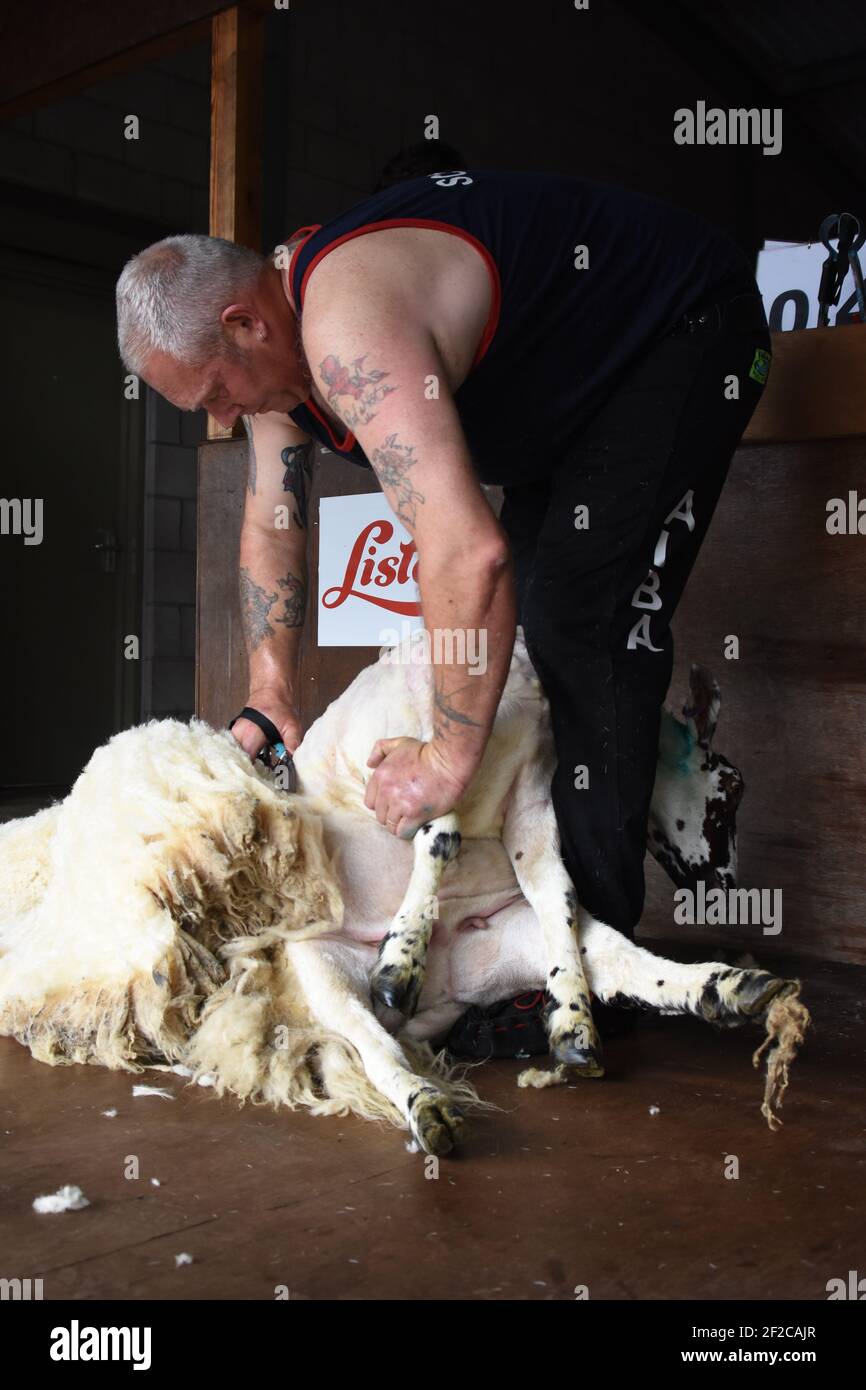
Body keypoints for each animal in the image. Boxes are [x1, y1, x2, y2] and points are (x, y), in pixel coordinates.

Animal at [0, 628, 806, 1150]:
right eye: (731, 788)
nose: (730, 890)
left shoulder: (532, 797)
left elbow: (554, 891)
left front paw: (575, 1019)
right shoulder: (399, 754)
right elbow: (439, 831)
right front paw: (401, 954)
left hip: (500, 940)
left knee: (615, 956)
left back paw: (725, 990)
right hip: (322, 969)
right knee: (371, 1045)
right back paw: (425, 1098)